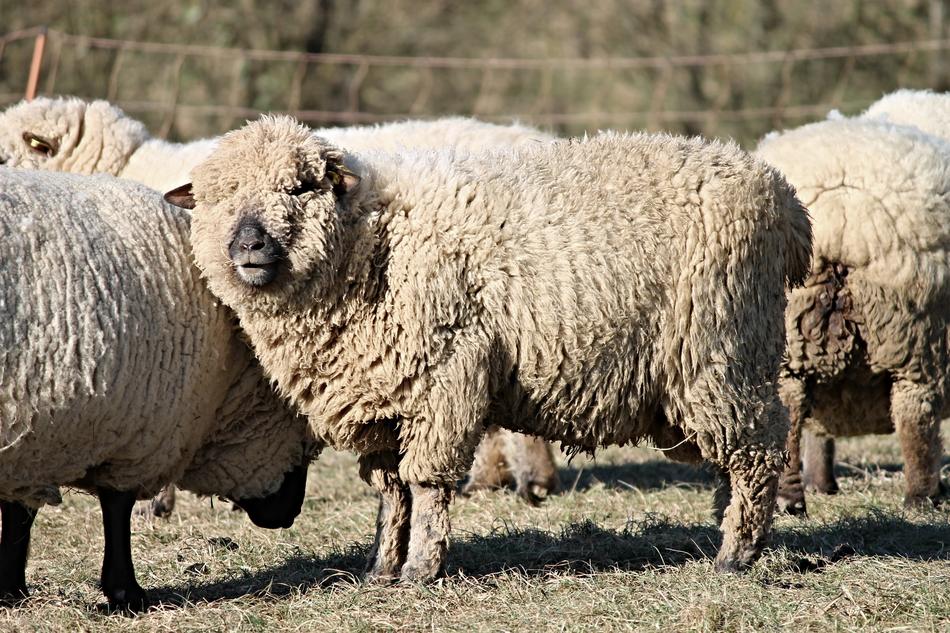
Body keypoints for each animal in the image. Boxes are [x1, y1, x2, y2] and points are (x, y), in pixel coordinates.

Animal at [0, 168, 317, 611]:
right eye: (304, 438)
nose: (289, 515)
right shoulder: (134, 422)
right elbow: (114, 507)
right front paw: (125, 591)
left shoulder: (37, 425)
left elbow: (19, 510)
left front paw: (10, 588)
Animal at [168, 115, 812, 581]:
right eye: (216, 196)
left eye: (301, 187)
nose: (248, 244)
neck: (370, 245)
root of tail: (783, 198)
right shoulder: (381, 397)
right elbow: (390, 492)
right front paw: (380, 568)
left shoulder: (443, 377)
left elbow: (426, 485)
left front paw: (420, 571)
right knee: (739, 455)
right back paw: (730, 531)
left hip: (720, 347)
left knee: (758, 449)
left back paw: (736, 555)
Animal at [754, 118, 950, 514]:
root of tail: (840, 212)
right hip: (913, 331)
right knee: (915, 412)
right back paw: (922, 498)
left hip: (793, 331)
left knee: (789, 410)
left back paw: (789, 498)